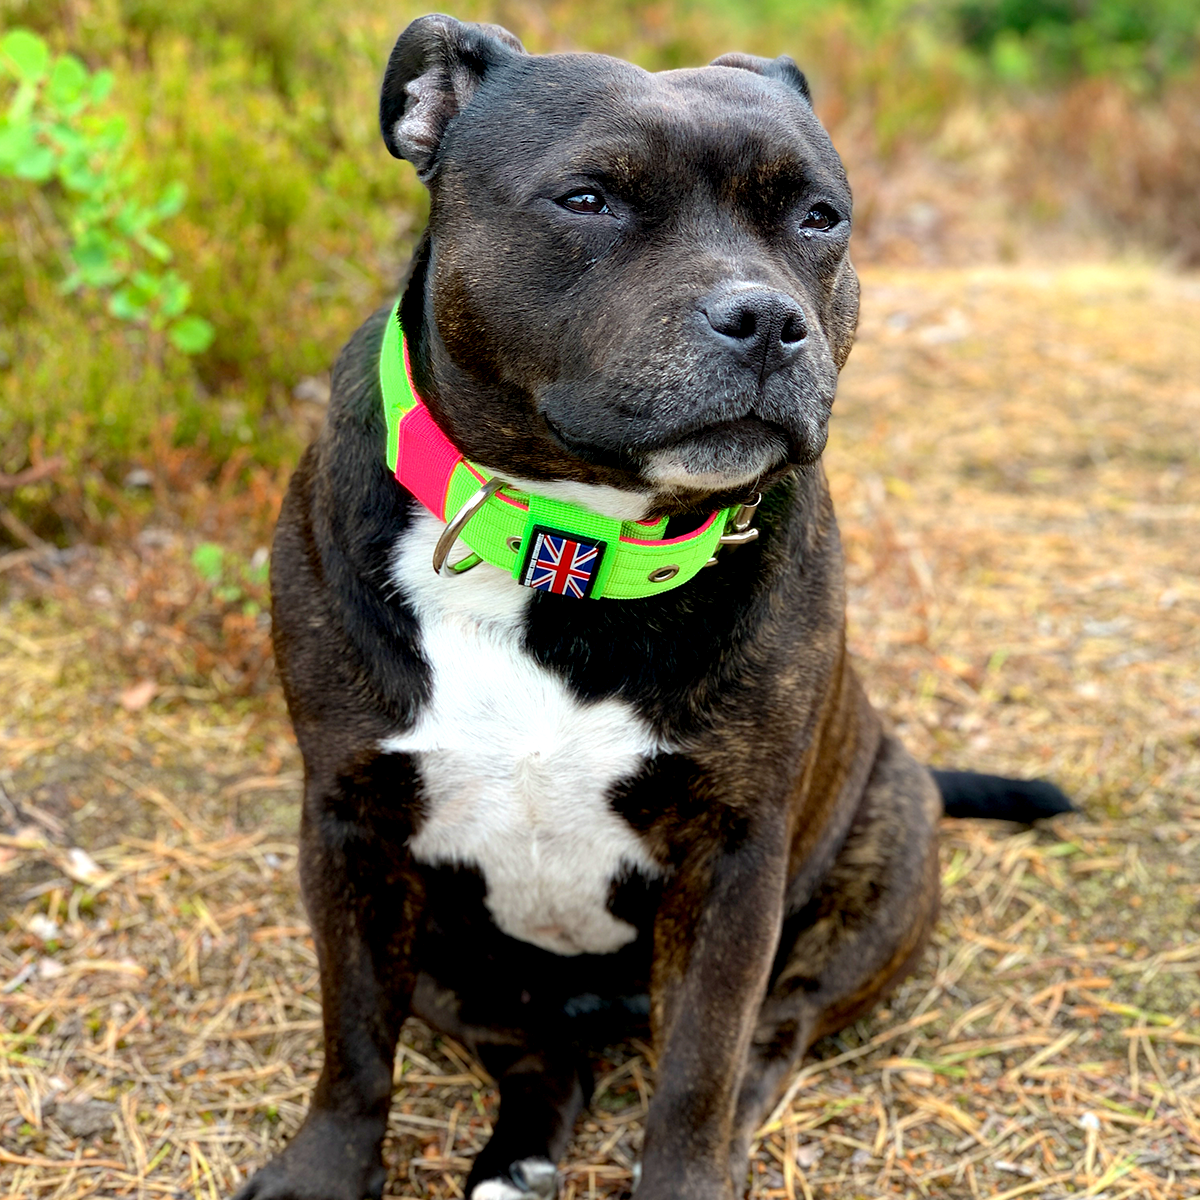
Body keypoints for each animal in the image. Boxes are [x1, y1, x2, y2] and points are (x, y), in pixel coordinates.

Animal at [231, 16, 1070, 1200]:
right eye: (588, 199)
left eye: (818, 217)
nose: (765, 320)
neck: (566, 547)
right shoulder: (349, 826)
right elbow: (352, 1036)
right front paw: (323, 1170)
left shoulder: (733, 861)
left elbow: (699, 1068)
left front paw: (689, 1168)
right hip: (449, 954)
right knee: (540, 1054)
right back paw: (520, 1156)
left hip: (885, 860)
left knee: (770, 1037)